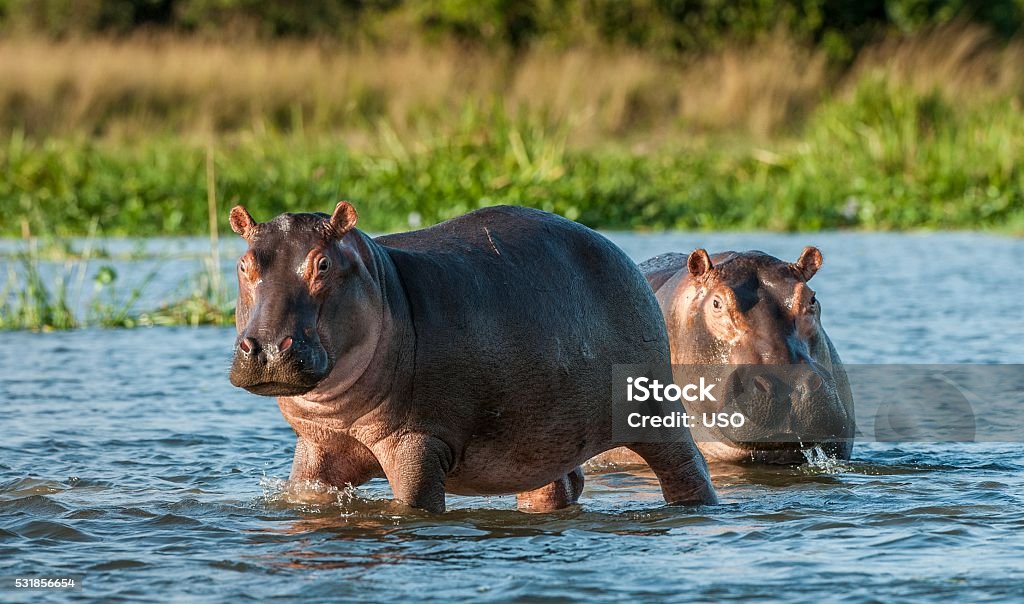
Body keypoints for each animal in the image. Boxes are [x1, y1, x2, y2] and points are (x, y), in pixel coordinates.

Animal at [227, 202, 717, 513]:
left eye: (323, 264)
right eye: (244, 264)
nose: (266, 348)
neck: (381, 283)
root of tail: (621, 254)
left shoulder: (418, 442)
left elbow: (415, 506)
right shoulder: (318, 446)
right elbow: (306, 493)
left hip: (655, 410)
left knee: (686, 467)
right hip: (541, 435)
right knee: (556, 485)